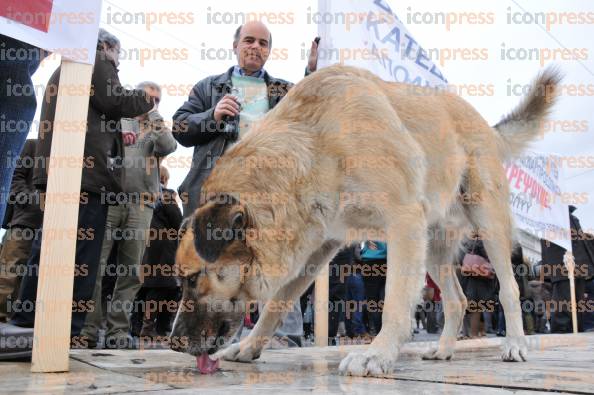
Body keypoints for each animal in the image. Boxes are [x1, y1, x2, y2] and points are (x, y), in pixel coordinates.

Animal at [169, 65, 556, 378]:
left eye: (192, 279)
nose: (172, 344)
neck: (315, 143)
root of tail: (486, 125)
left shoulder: (402, 220)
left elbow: (395, 304)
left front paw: (377, 354)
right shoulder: (318, 248)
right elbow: (276, 304)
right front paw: (249, 347)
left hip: (485, 222)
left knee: (508, 289)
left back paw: (515, 344)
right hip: (430, 245)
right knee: (457, 300)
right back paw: (444, 349)